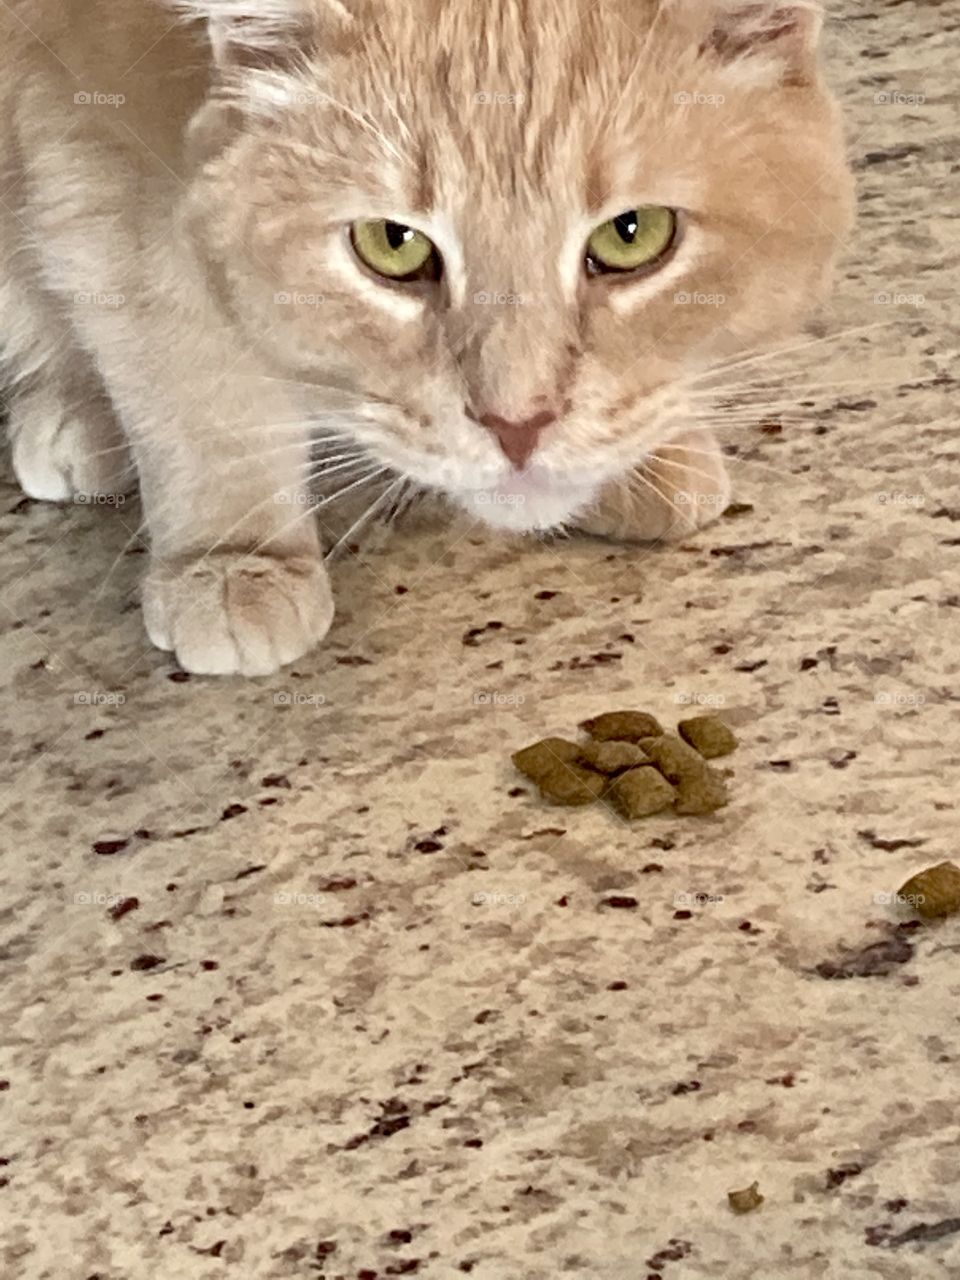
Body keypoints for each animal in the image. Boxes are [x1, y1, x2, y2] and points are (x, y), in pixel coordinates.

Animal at [0, 0, 855, 675]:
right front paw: (235, 550)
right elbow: (191, 367)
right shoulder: (89, 114)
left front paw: (648, 449)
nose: (519, 427)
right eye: (392, 246)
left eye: (632, 235)